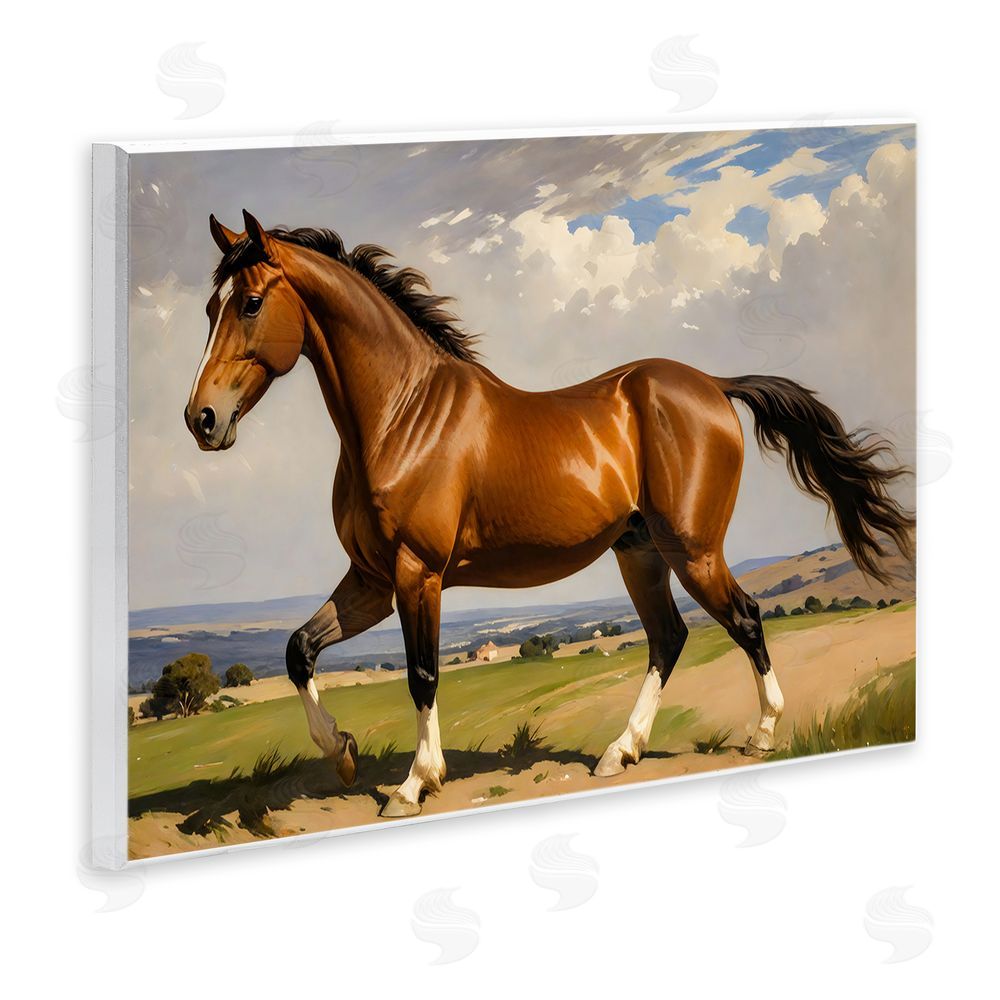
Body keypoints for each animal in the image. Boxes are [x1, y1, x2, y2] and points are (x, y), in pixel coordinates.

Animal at [185, 210, 914, 817]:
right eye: (209, 307)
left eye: (251, 303)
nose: (202, 419)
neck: (401, 415)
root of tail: (712, 385)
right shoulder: (370, 579)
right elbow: (299, 650)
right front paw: (342, 754)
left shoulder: (417, 573)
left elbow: (422, 675)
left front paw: (416, 783)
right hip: (640, 553)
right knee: (669, 637)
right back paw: (620, 752)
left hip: (693, 550)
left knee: (745, 617)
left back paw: (761, 733)